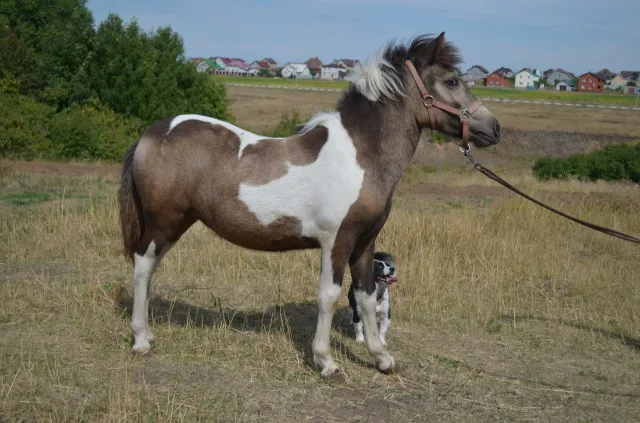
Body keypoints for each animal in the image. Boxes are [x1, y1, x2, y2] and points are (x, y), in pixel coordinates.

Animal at [117, 32, 501, 378]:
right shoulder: (337, 241)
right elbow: (329, 295)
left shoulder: (365, 243)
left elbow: (365, 297)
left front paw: (382, 359)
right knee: (142, 267)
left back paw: (149, 332)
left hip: (177, 224)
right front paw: (326, 362)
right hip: (163, 221)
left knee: (150, 268)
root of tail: (150, 134)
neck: (359, 156)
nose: (494, 128)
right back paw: (141, 341)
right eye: (451, 80)